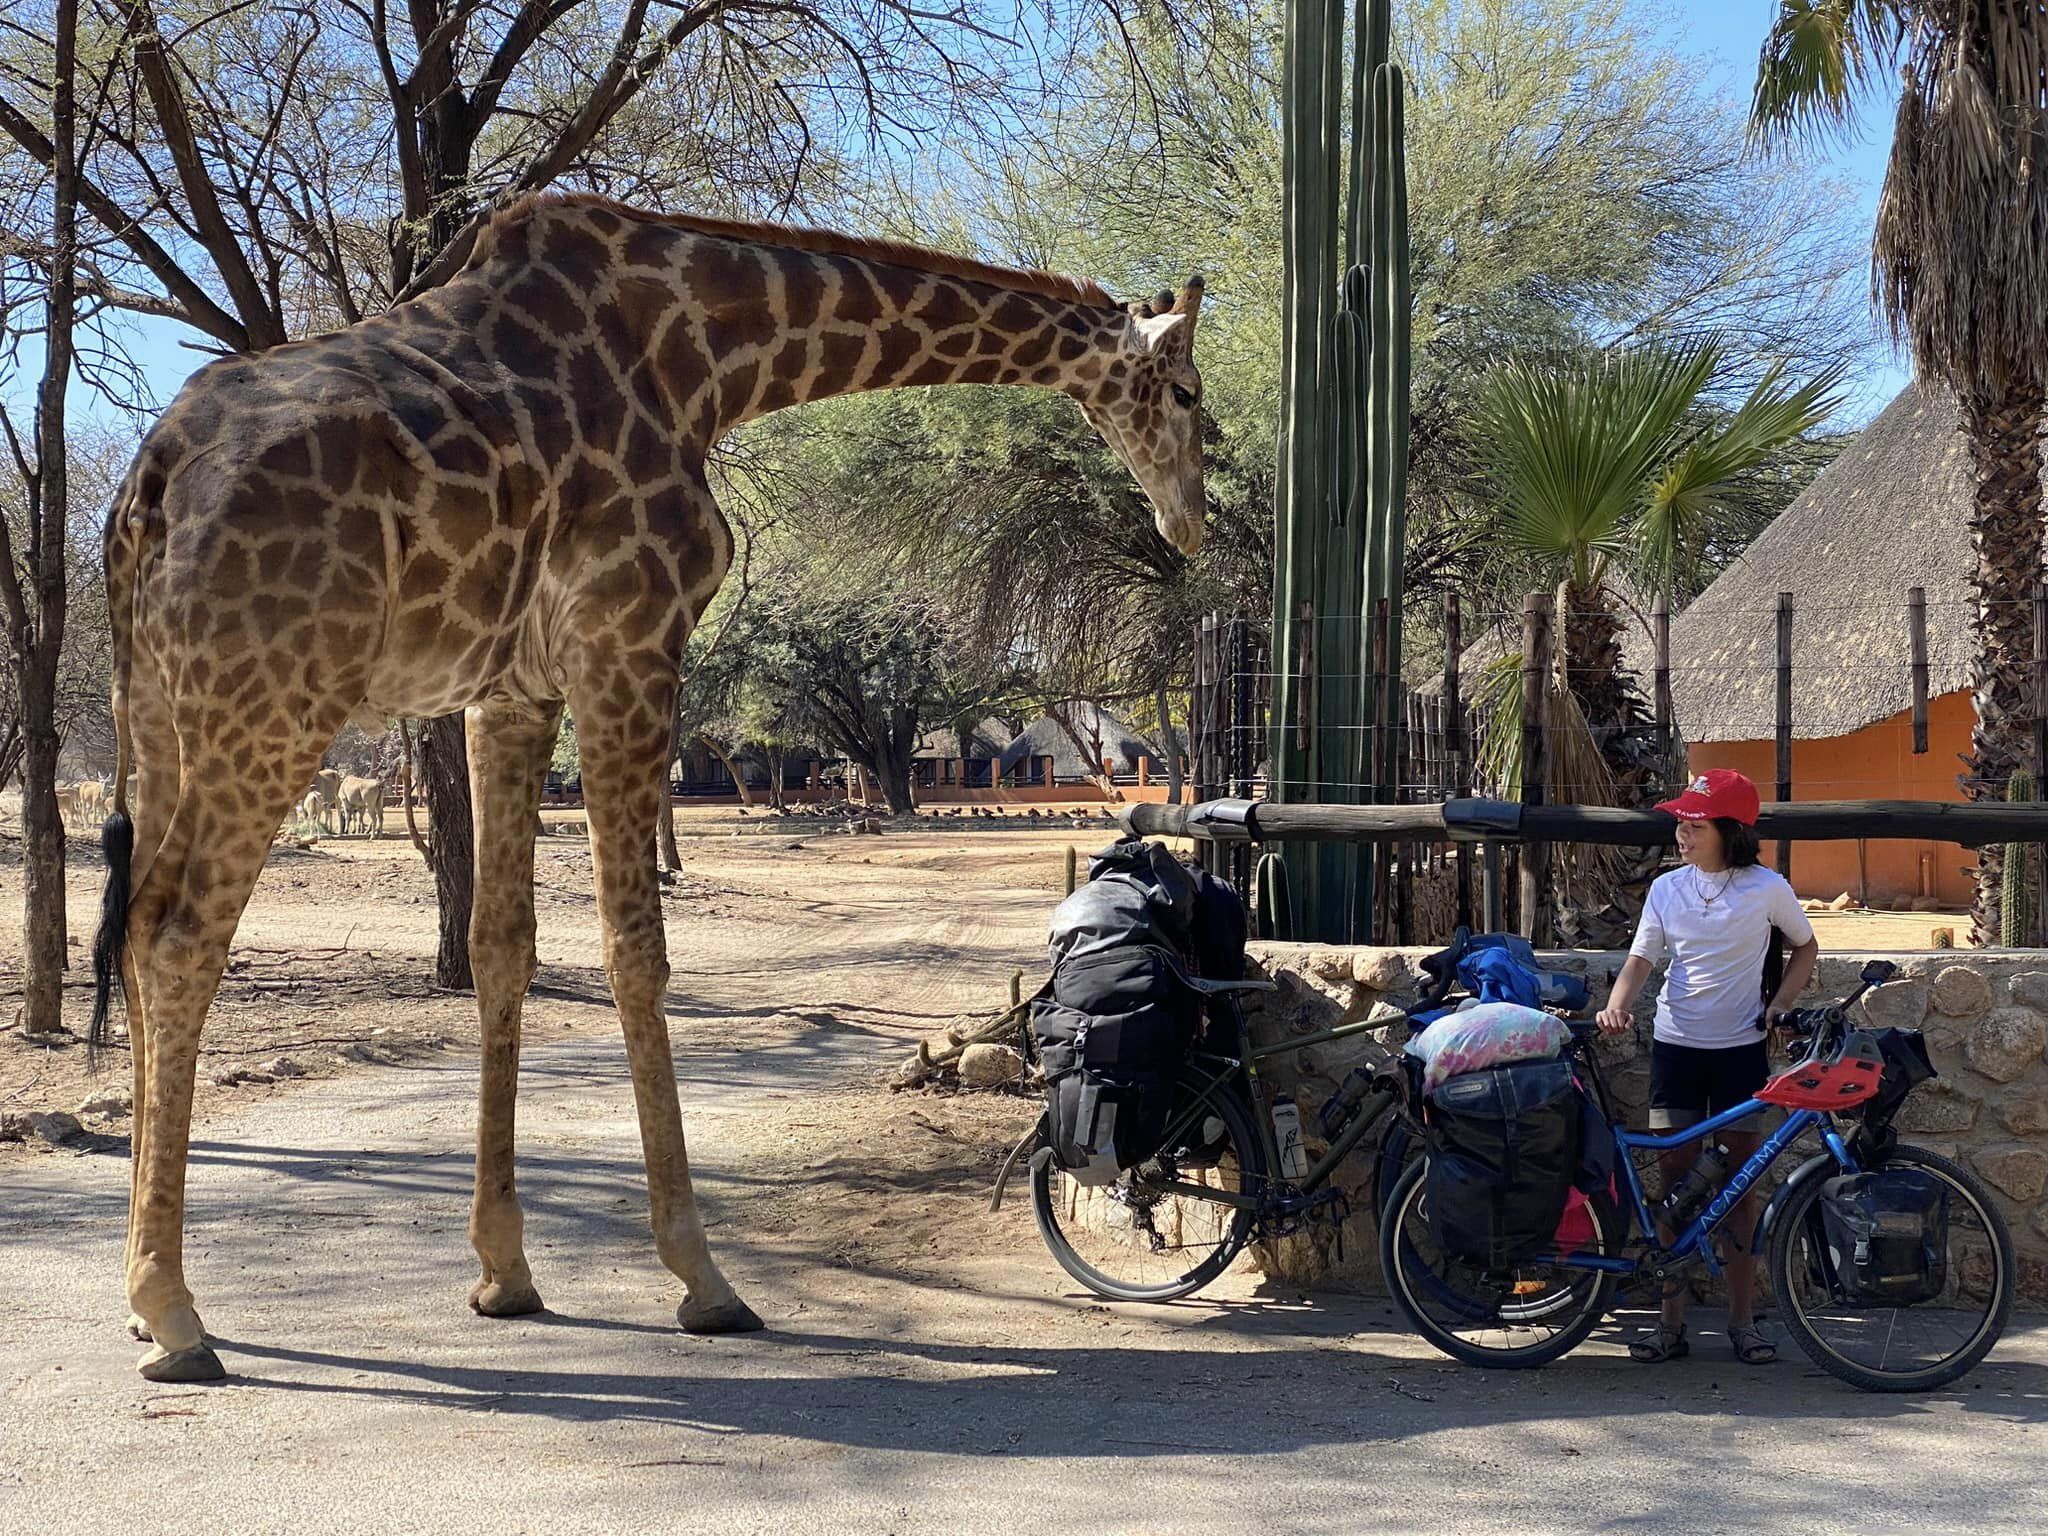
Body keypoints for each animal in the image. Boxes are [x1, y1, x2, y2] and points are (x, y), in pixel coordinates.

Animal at [96, 189, 1204, 1384]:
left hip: (158, 709)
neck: (709, 355)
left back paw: (140, 1299)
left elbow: (502, 944)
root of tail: (149, 490)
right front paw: (702, 1278)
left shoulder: (511, 688)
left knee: (139, 921)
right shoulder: (629, 637)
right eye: (1187, 392)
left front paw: (505, 1274)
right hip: (277, 698)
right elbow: (638, 950)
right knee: (181, 934)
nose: (1189, 519)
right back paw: (172, 1311)